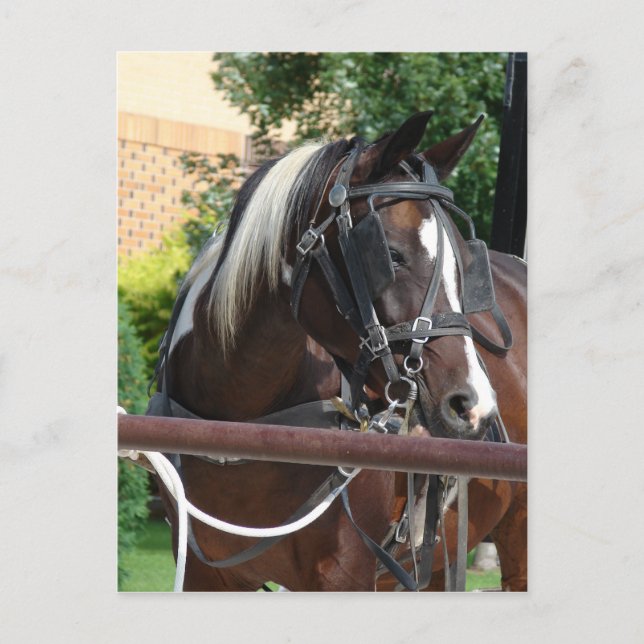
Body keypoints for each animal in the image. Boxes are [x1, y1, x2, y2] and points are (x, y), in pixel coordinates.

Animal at [149, 110, 527, 591]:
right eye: (391, 255)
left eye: (464, 262)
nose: (473, 404)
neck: (241, 423)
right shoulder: (205, 574)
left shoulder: (344, 574)